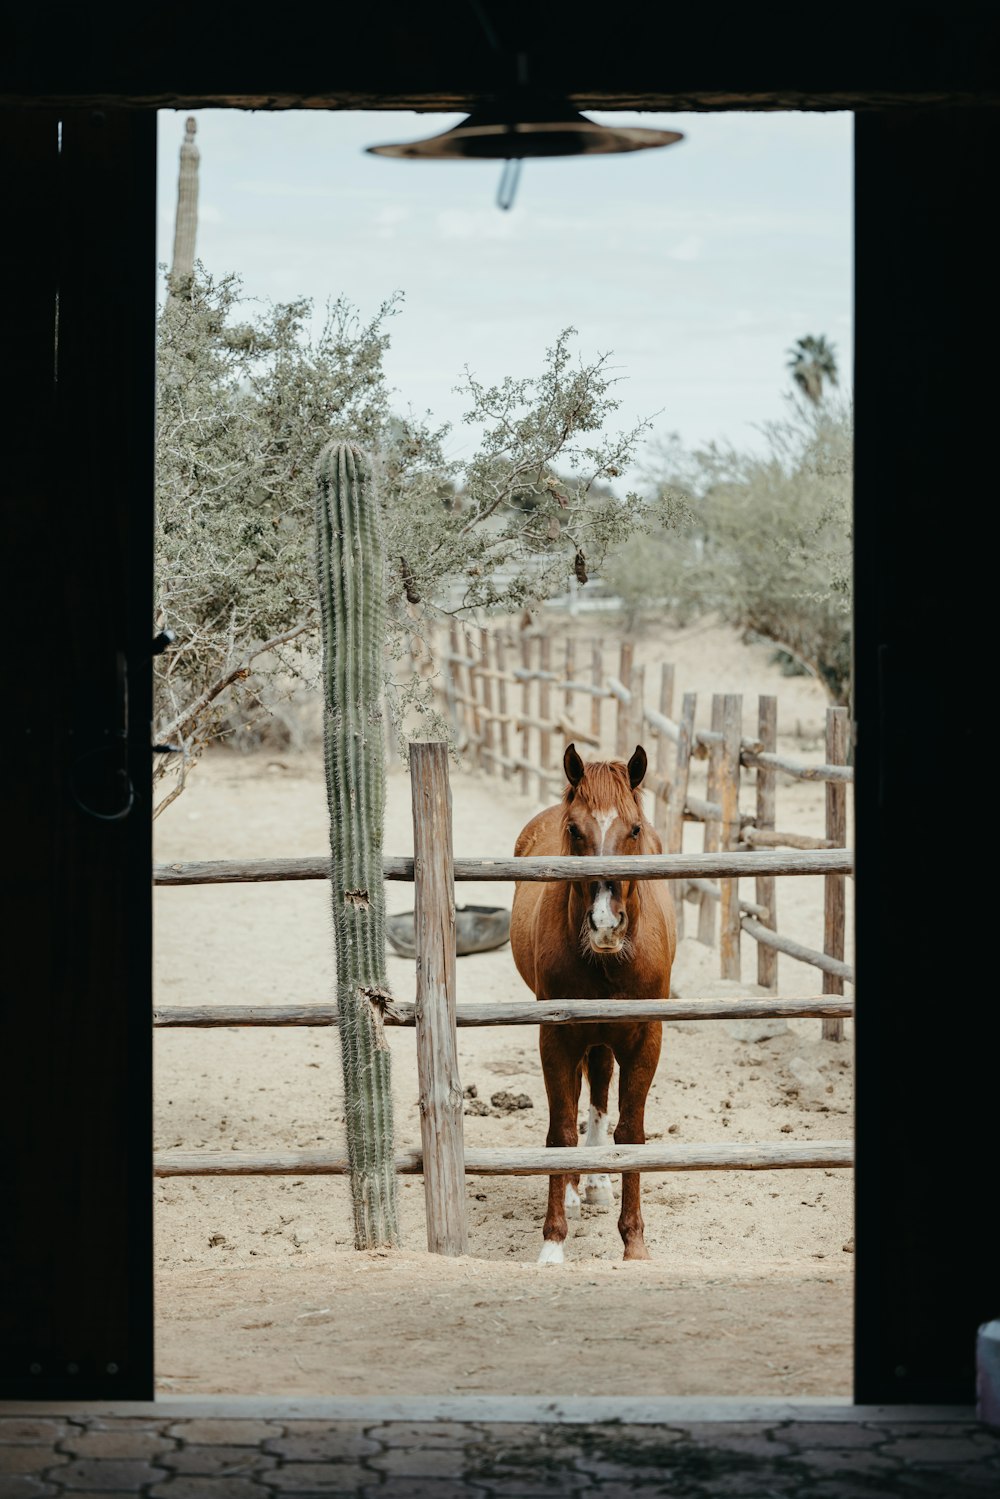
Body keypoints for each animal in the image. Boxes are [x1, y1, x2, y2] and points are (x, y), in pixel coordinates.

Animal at [512, 743, 677, 1259]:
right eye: (574, 829)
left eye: (634, 829)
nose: (606, 924)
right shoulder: (557, 1037)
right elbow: (561, 1130)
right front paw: (552, 1244)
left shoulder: (645, 1040)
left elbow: (632, 1133)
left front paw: (634, 1243)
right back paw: (574, 1187)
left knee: (601, 1086)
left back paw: (598, 1183)